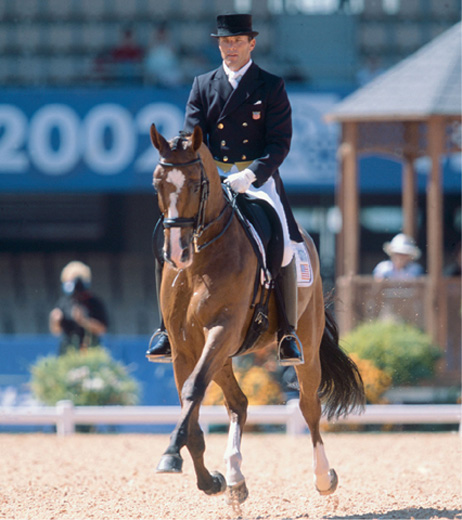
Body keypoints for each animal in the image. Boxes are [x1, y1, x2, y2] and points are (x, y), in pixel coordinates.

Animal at [148, 124, 364, 506]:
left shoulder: (222, 330)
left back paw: (324, 477)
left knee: (309, 406)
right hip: (221, 356)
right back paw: (235, 476)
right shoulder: (185, 348)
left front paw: (172, 454)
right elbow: (191, 407)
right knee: (239, 403)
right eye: (158, 183)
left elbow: (193, 391)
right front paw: (209, 480)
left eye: (196, 184)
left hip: (303, 345)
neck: (200, 260)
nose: (176, 253)